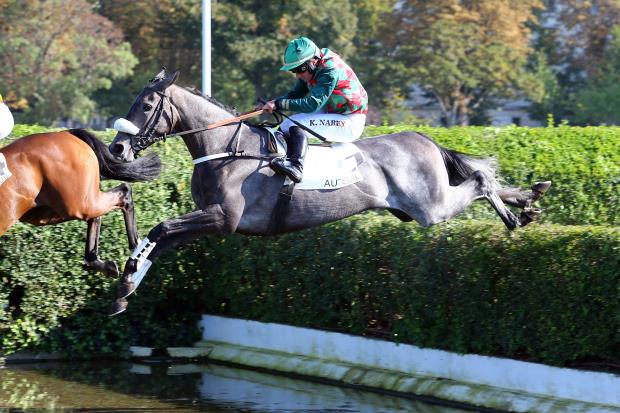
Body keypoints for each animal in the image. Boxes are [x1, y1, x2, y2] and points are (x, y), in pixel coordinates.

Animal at [0, 129, 160, 276]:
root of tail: (66, 133)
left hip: (78, 204)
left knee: (123, 192)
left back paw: (138, 251)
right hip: (45, 211)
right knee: (97, 215)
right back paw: (100, 261)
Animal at [108, 70, 552, 316]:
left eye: (145, 105)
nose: (117, 149)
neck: (226, 148)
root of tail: (424, 138)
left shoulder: (223, 219)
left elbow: (161, 230)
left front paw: (125, 278)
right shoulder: (206, 223)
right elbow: (160, 239)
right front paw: (125, 288)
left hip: (431, 208)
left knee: (479, 180)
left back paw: (514, 216)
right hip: (421, 206)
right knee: (483, 180)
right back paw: (529, 201)